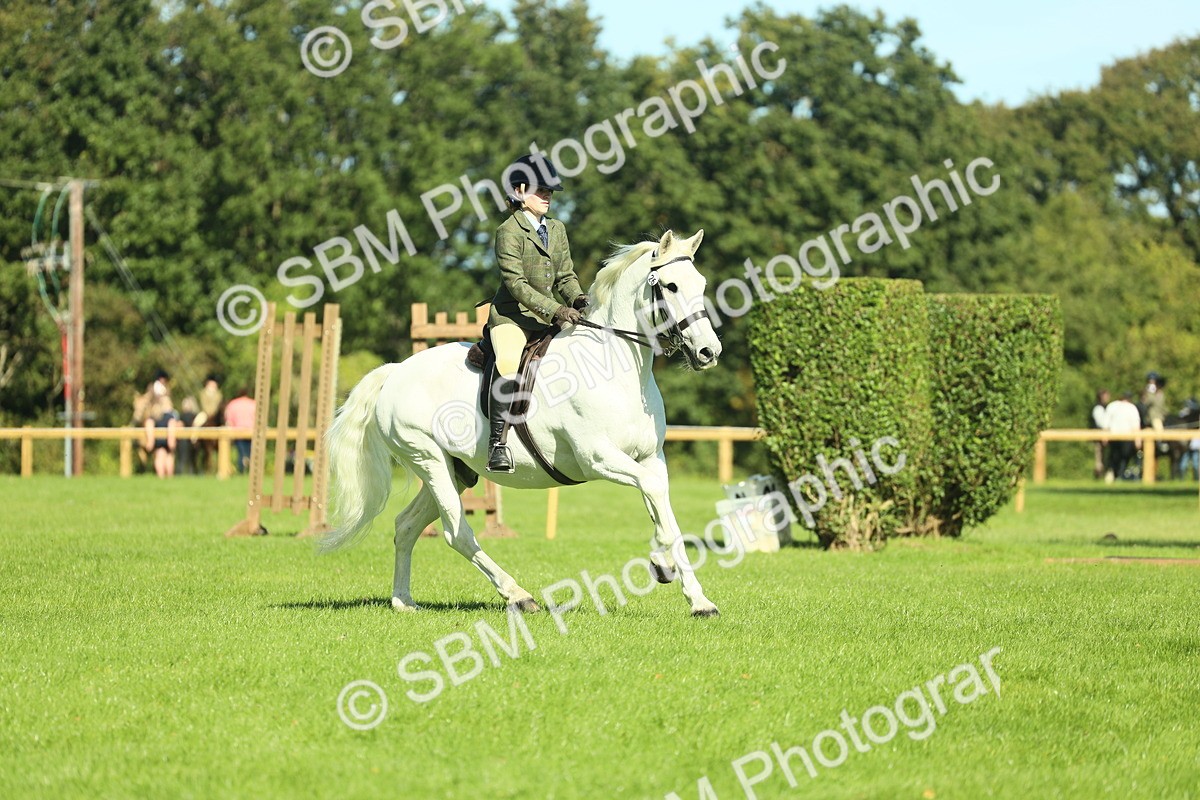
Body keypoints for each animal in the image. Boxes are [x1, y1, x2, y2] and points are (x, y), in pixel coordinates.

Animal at [321, 229, 725, 617]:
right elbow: (654, 495)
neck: (614, 368)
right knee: (456, 532)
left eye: (701, 284)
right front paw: (669, 570)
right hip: (428, 459)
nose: (709, 352)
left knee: (406, 526)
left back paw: (403, 601)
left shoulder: (651, 459)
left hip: (454, 471)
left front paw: (690, 590)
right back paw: (519, 596)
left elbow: (664, 509)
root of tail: (396, 371)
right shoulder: (599, 458)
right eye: (670, 286)